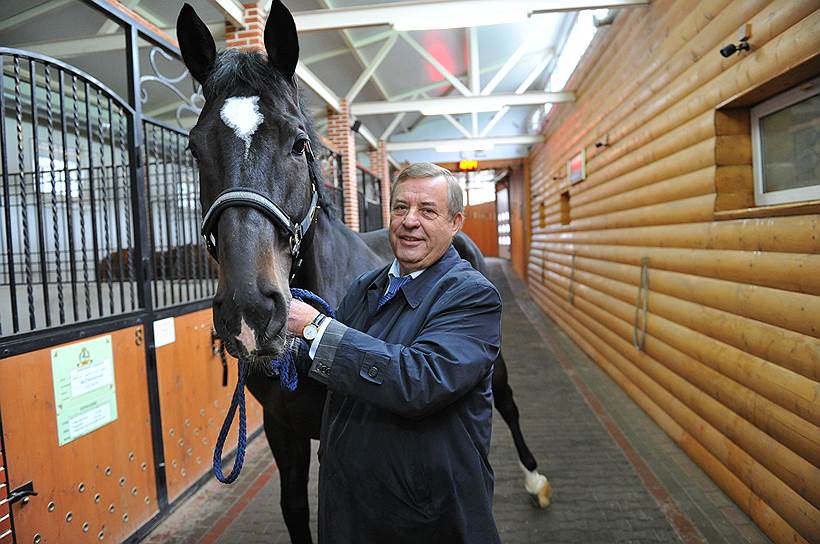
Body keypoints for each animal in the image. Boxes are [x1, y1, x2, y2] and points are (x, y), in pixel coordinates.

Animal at [176, 3, 551, 542]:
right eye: (194, 148)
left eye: (299, 143)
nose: (250, 310)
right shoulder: (283, 431)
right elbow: (294, 508)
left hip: (493, 364)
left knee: (507, 403)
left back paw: (535, 479)